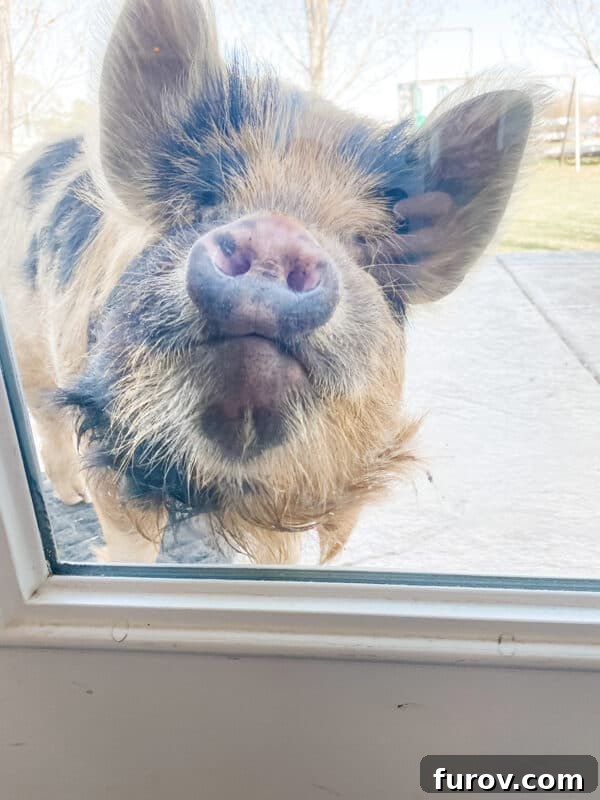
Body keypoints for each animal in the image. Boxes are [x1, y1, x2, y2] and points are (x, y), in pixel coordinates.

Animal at [0, 0, 539, 564]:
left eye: (361, 244)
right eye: (205, 199)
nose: (277, 231)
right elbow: (129, 541)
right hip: (26, 336)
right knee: (44, 413)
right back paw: (71, 496)